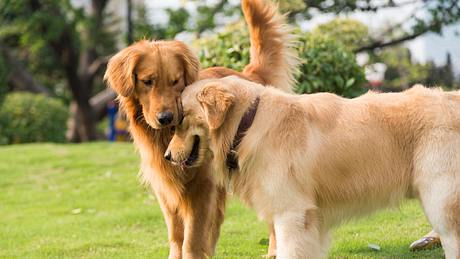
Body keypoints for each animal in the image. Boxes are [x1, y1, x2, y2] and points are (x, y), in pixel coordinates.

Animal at [103, 0, 298, 258]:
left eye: (175, 80)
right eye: (147, 81)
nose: (165, 118)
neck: (166, 135)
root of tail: (248, 75)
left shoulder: (202, 185)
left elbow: (193, 236)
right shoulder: (165, 186)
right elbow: (177, 233)